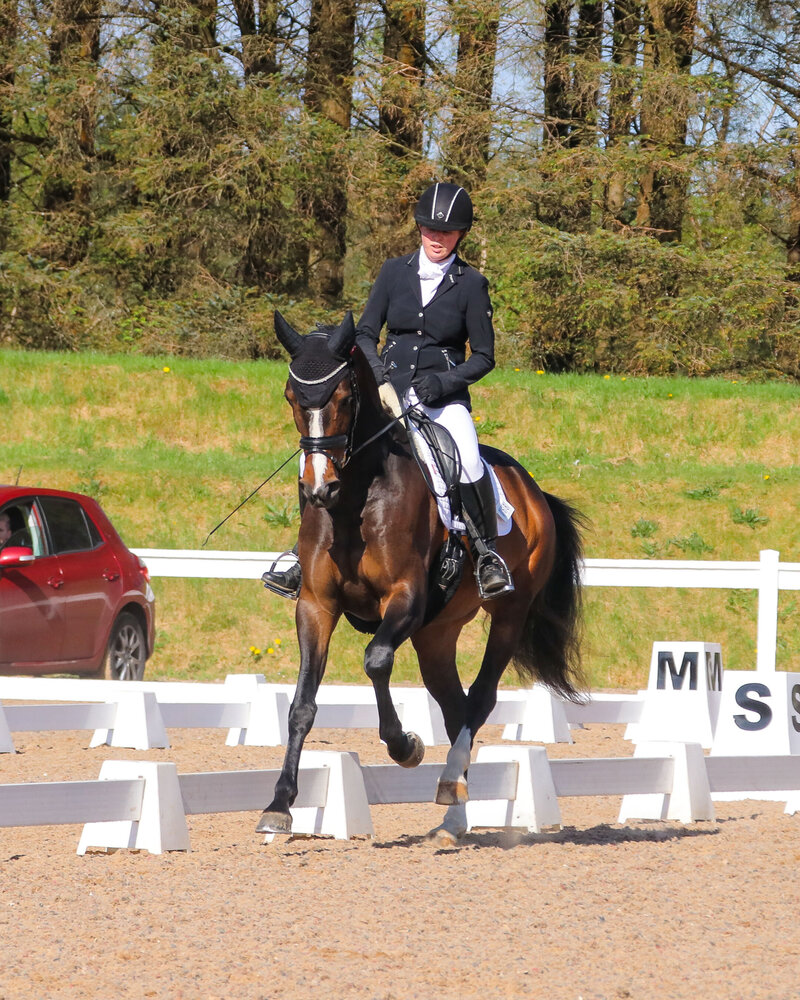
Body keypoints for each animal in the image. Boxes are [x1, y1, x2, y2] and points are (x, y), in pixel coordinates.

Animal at [257, 310, 585, 843]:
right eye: (291, 397)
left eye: (344, 398)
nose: (318, 489)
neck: (355, 502)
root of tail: (531, 487)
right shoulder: (316, 605)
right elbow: (302, 704)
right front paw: (279, 805)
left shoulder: (405, 598)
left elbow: (375, 660)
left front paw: (404, 746)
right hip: (436, 633)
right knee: (456, 707)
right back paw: (453, 815)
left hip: (509, 614)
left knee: (480, 699)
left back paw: (450, 783)